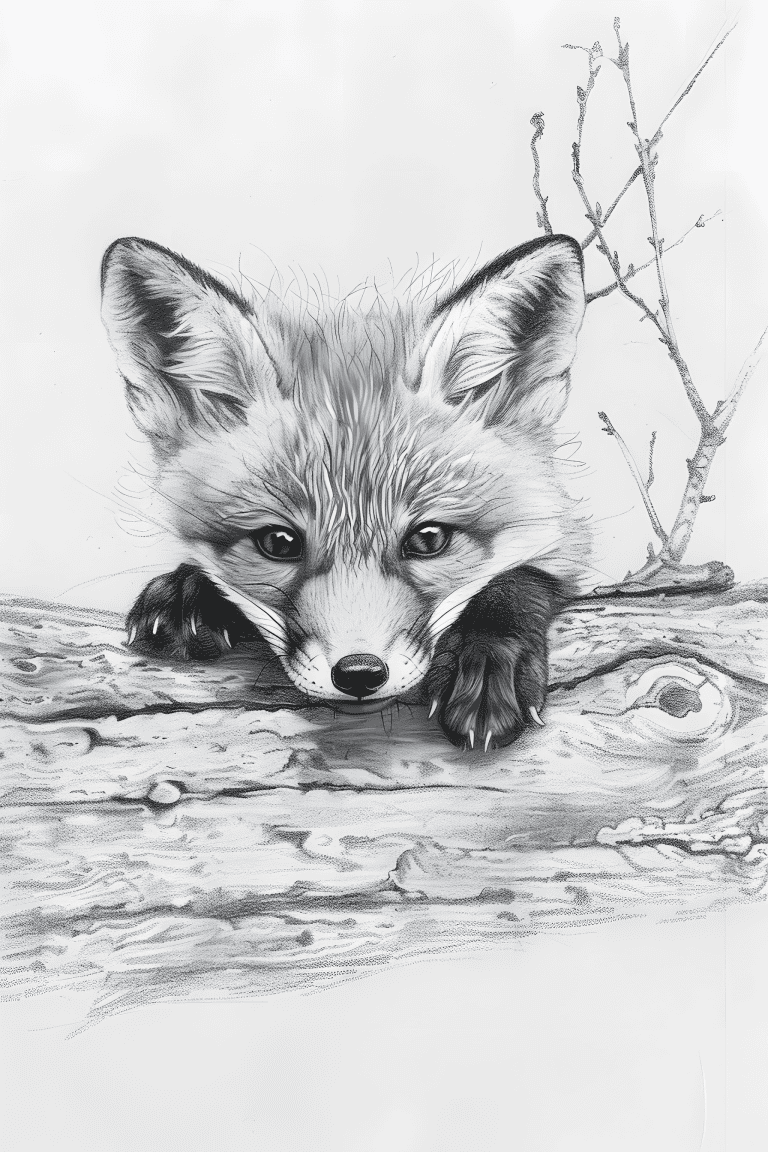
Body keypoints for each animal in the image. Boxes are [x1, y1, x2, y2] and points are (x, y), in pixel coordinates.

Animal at [100, 233, 590, 750]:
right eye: (278, 542)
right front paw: (187, 592)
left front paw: (488, 660)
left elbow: (518, 579)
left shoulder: (564, 536)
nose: (359, 673)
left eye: (429, 539)